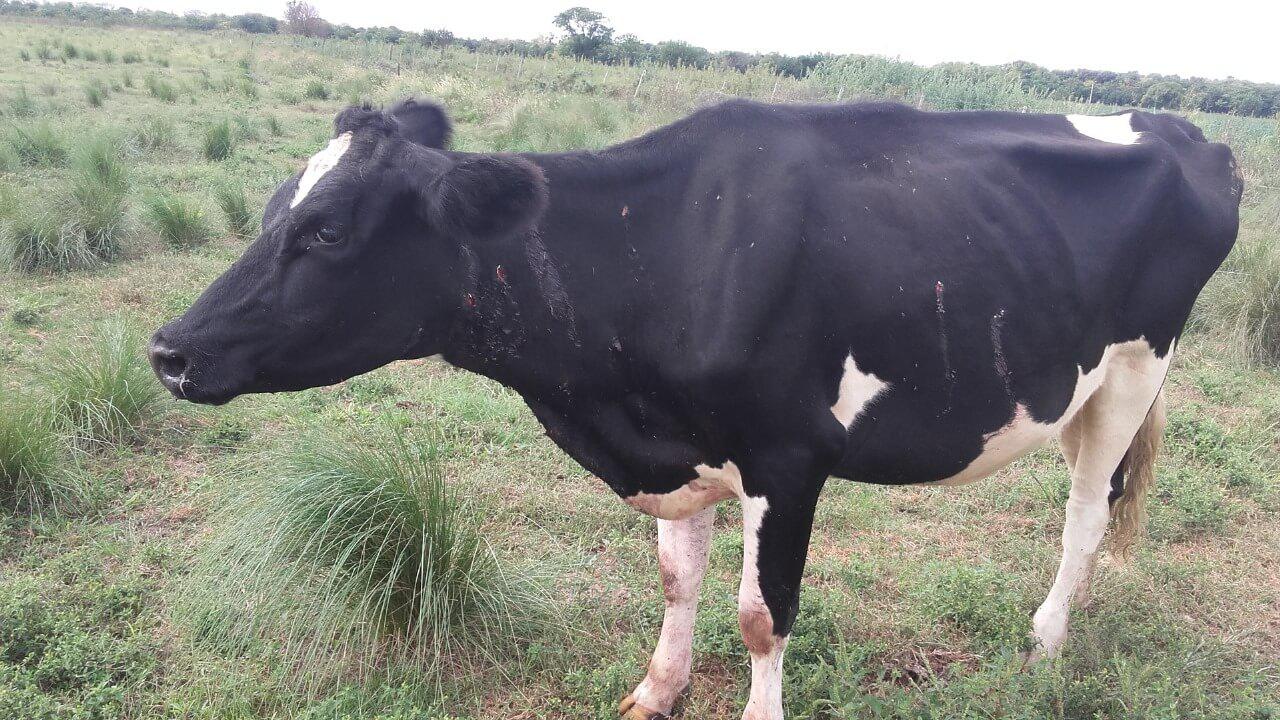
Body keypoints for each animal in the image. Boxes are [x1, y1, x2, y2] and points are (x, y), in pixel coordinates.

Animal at [149, 97, 1242, 719]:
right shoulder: (683, 449)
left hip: (1134, 369)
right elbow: (678, 580)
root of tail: (1181, 129)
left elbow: (761, 617)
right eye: (272, 208)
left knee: (1085, 516)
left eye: (328, 230)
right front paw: (655, 690)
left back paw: (1045, 641)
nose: (169, 350)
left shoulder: (786, 456)